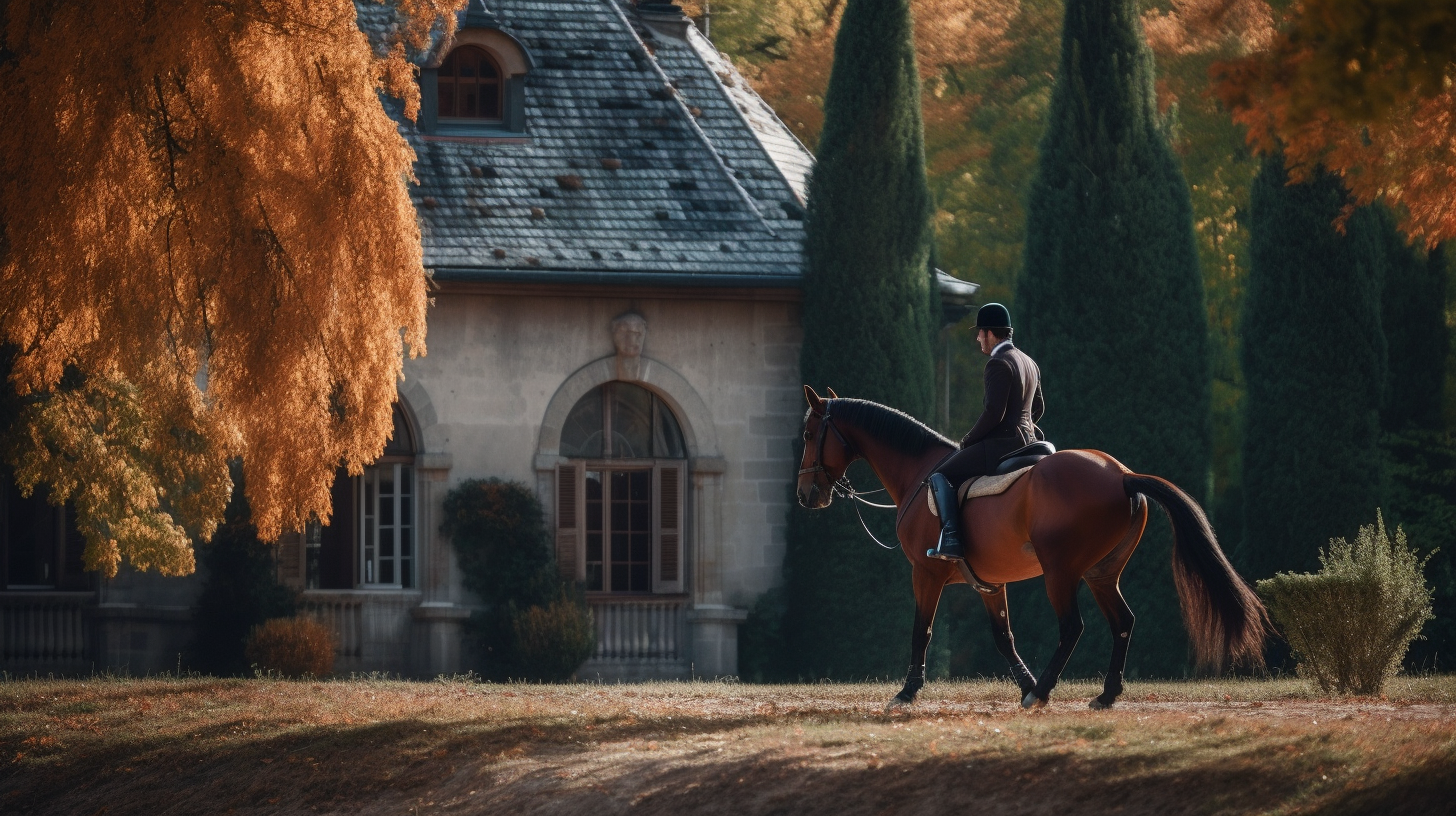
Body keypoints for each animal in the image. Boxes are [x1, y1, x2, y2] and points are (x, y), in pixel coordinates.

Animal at [792, 384, 1269, 711]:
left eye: (809, 432)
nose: (805, 495)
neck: (919, 473)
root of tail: (1121, 475)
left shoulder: (925, 574)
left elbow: (921, 631)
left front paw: (907, 693)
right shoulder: (989, 583)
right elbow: (1004, 637)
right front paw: (1022, 683)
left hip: (1061, 572)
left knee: (1073, 627)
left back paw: (1044, 690)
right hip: (1100, 574)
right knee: (1123, 622)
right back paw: (1103, 695)